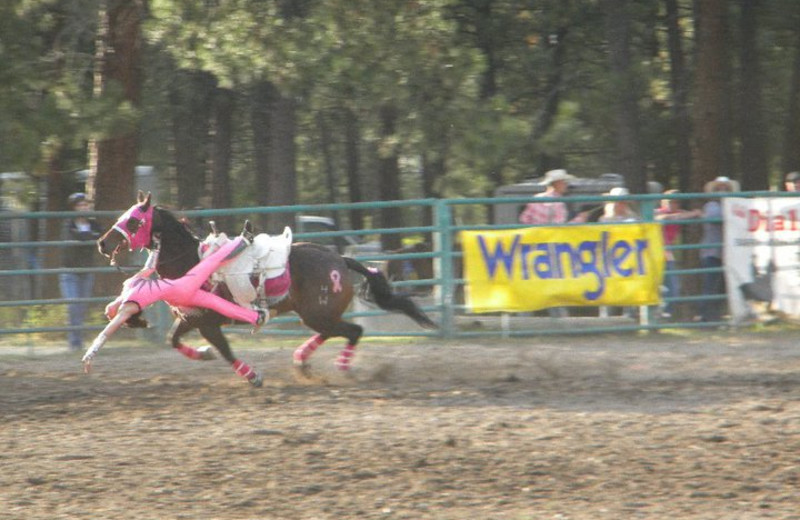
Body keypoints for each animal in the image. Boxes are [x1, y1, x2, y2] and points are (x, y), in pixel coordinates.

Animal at [97, 193, 440, 384]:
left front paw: (252, 376)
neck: (192, 265)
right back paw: (302, 360)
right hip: (315, 314)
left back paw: (341, 368)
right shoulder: (191, 318)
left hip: (318, 313)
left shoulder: (208, 322)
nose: (102, 243)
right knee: (334, 331)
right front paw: (204, 354)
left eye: (133, 221)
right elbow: (174, 340)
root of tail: (340, 259)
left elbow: (225, 350)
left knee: (353, 330)